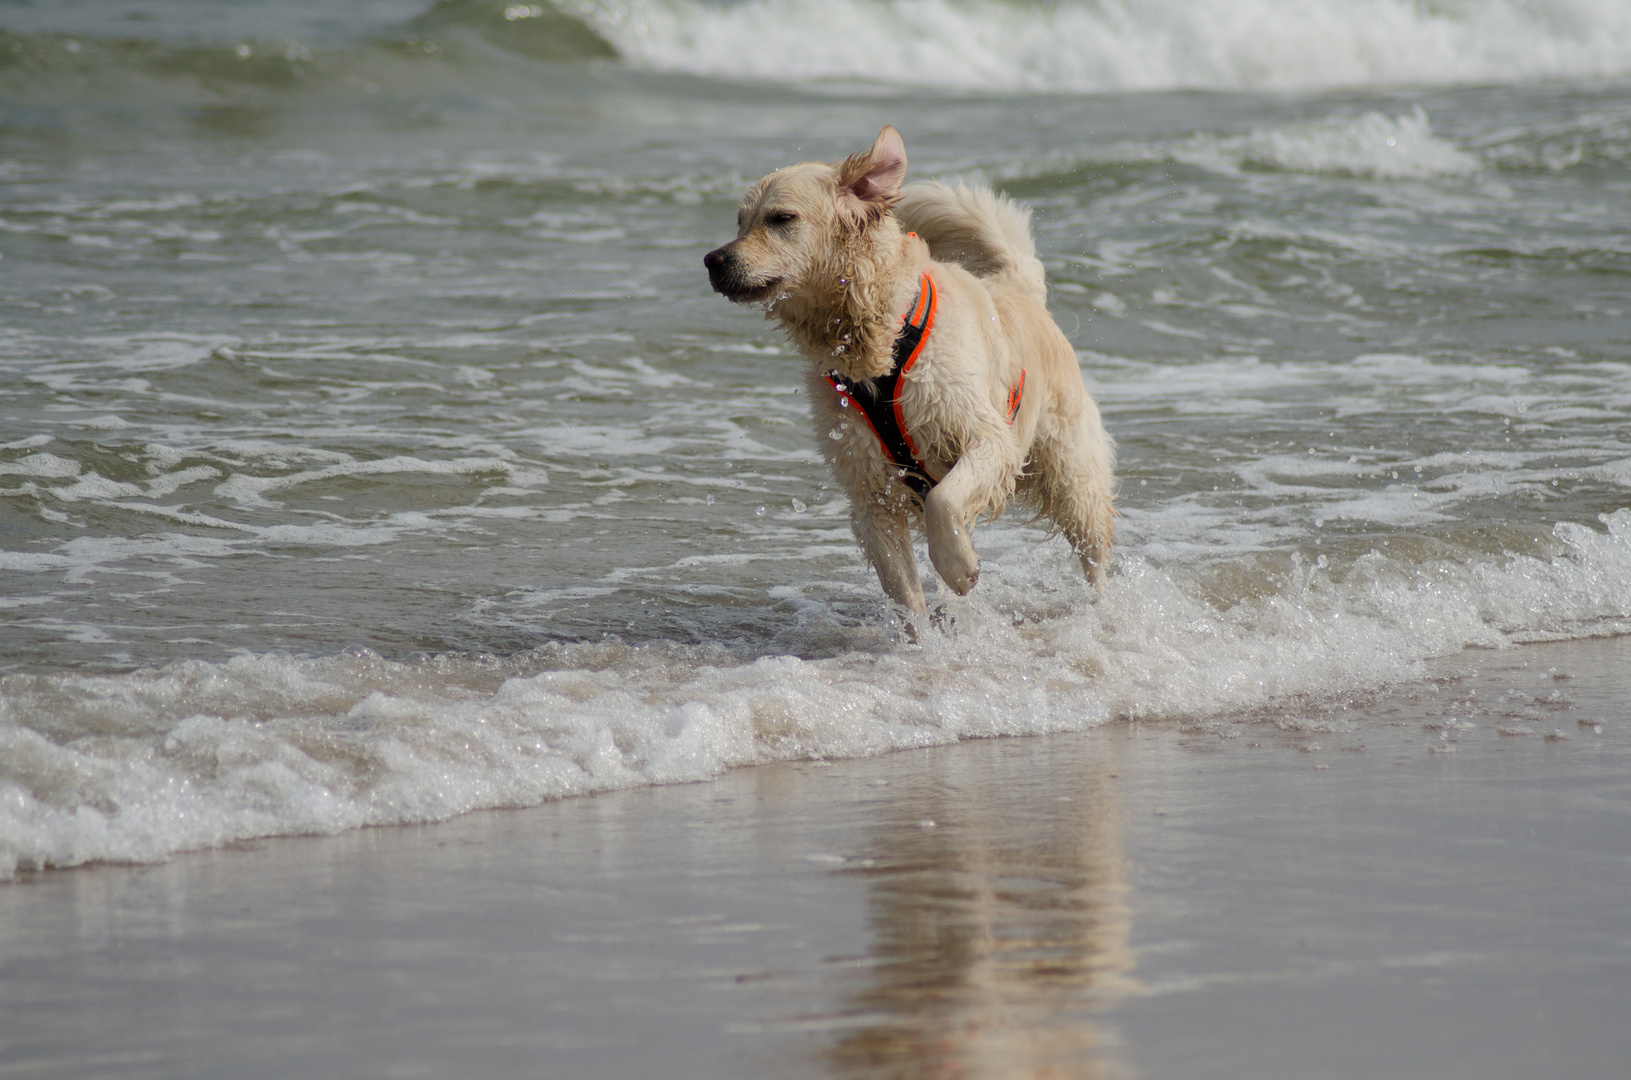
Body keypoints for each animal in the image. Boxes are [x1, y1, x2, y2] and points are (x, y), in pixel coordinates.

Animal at [701, 125, 1109, 616]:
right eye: (740, 222)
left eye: (781, 218)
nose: (713, 259)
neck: (876, 339)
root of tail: (1017, 287)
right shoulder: (869, 490)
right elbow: (906, 594)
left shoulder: (988, 437)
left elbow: (943, 501)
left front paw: (957, 567)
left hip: (1072, 474)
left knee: (1094, 553)